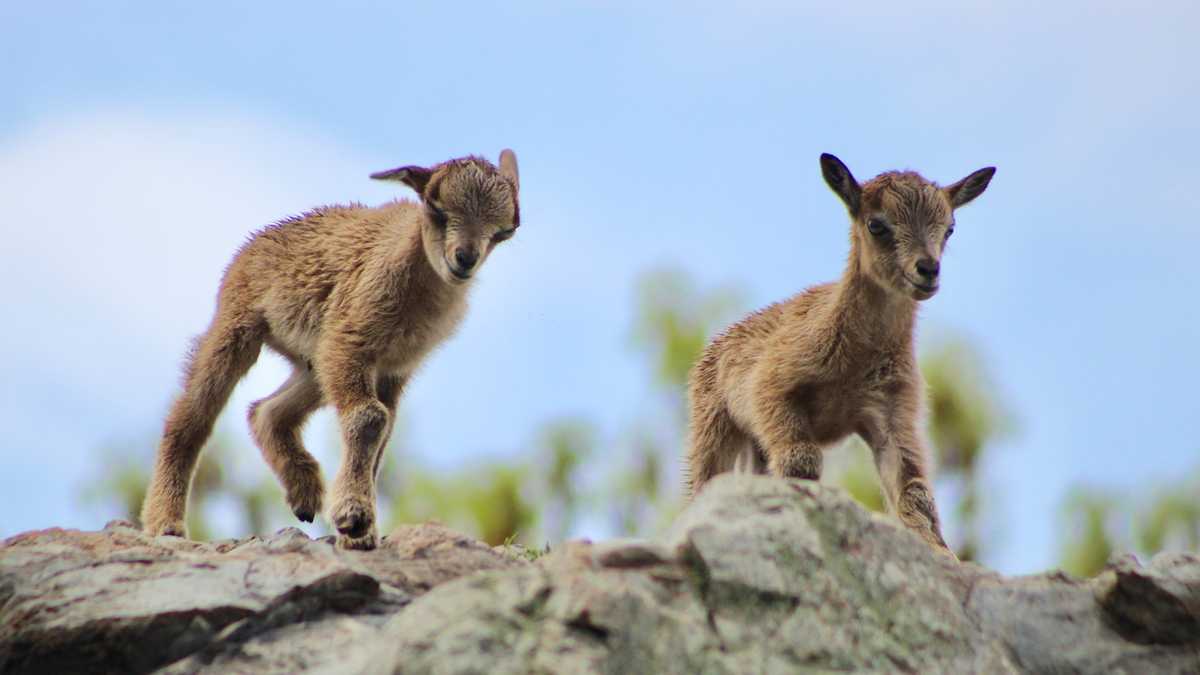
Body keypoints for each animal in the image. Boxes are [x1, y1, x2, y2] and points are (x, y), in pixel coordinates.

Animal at [686, 154, 993, 554]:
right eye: (877, 224)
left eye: (950, 228)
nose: (927, 270)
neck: (855, 364)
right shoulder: (772, 392)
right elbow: (801, 463)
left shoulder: (892, 414)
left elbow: (914, 489)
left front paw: (941, 551)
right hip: (713, 424)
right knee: (703, 483)